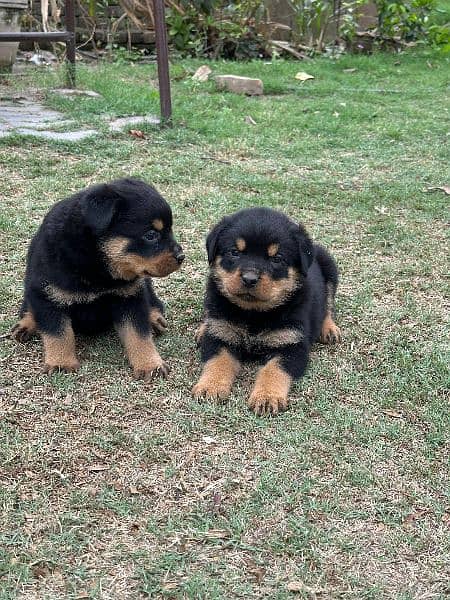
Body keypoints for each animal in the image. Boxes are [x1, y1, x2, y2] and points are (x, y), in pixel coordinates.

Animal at [11, 176, 185, 380]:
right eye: (151, 235)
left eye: (170, 230)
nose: (181, 256)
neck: (96, 264)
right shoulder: (47, 295)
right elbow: (58, 333)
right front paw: (61, 363)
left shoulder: (129, 296)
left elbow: (138, 334)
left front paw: (150, 364)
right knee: (28, 307)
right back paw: (26, 325)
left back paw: (154, 318)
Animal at [193, 206, 342, 412]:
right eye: (234, 252)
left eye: (277, 258)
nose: (249, 279)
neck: (253, 314)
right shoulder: (220, 336)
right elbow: (217, 362)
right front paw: (211, 386)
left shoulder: (291, 345)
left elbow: (274, 370)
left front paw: (266, 397)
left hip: (330, 267)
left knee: (328, 304)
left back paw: (328, 329)